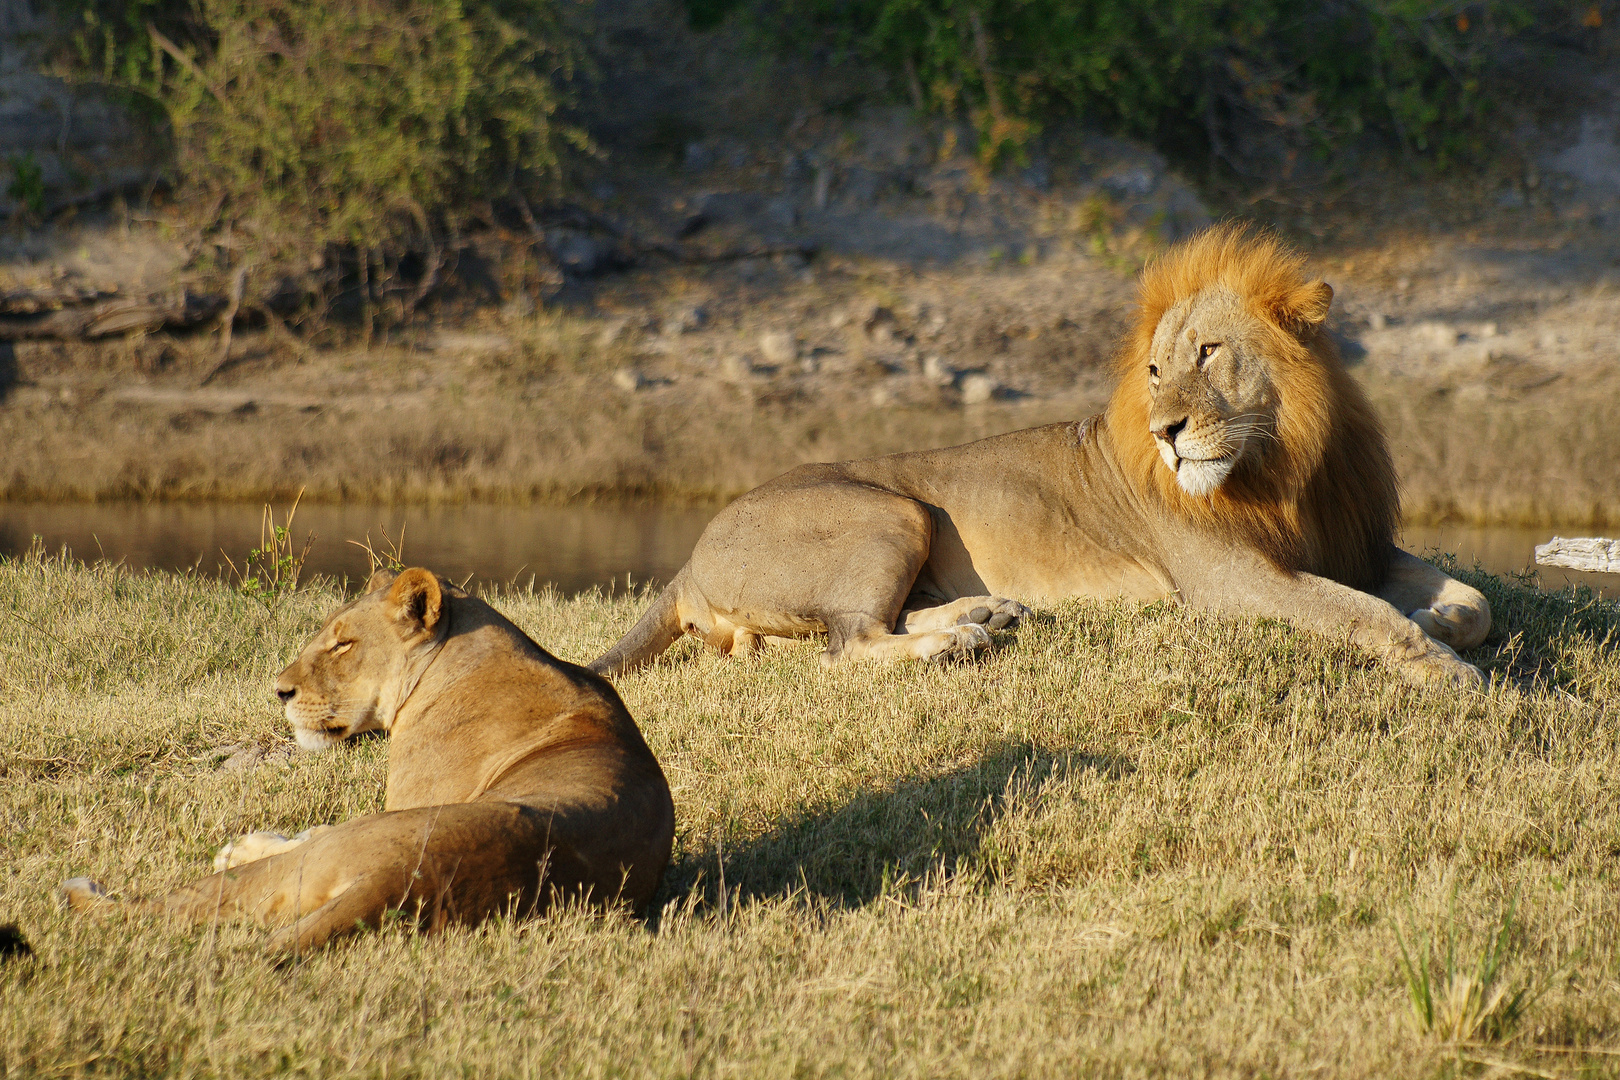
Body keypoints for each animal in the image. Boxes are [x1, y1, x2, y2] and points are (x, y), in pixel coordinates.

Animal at [66, 566, 673, 952]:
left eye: (342, 644)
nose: (279, 691)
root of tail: (405, 878)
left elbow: (304, 832)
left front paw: (242, 845)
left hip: (337, 850)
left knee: (160, 907)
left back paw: (83, 891)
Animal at [596, 225, 1490, 689]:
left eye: (1208, 352)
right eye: (1155, 371)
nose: (1166, 432)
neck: (1287, 464)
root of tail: (692, 556)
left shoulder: (1358, 542)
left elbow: (1470, 598)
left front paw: (1441, 618)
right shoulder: (1232, 581)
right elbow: (1362, 613)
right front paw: (1451, 672)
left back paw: (985, 614)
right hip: (893, 509)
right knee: (847, 645)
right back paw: (956, 642)